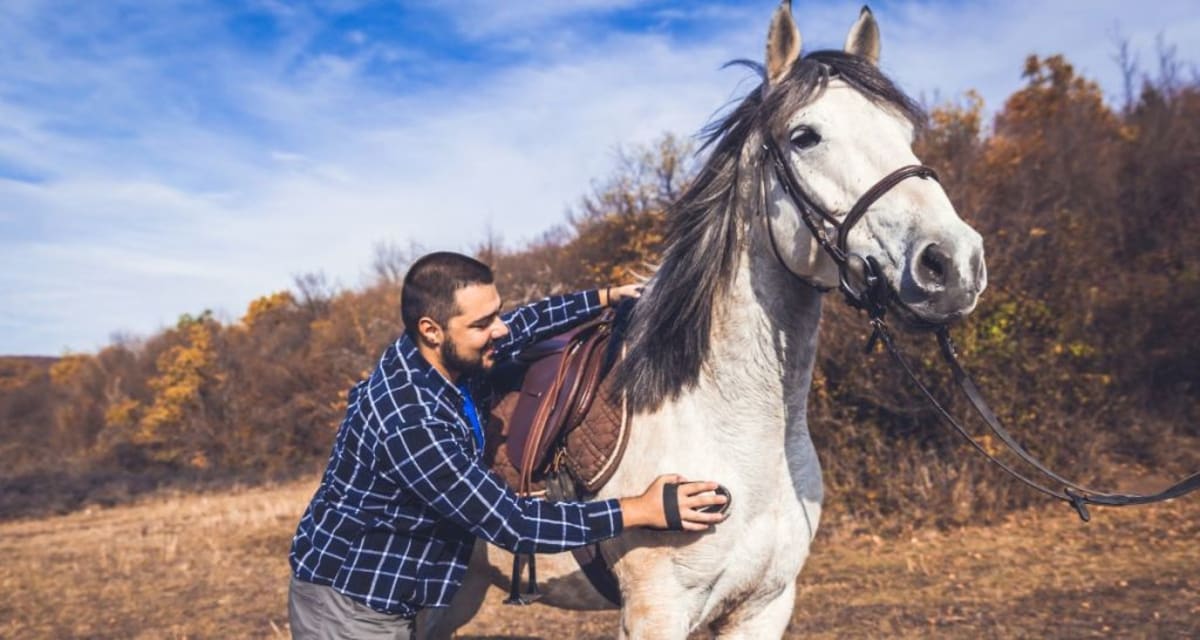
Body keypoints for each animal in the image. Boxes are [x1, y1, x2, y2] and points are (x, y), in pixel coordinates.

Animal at [420, 2, 986, 638]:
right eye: (805, 136)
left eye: (904, 134)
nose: (952, 262)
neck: (733, 427)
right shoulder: (656, 609)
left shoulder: (764, 606)